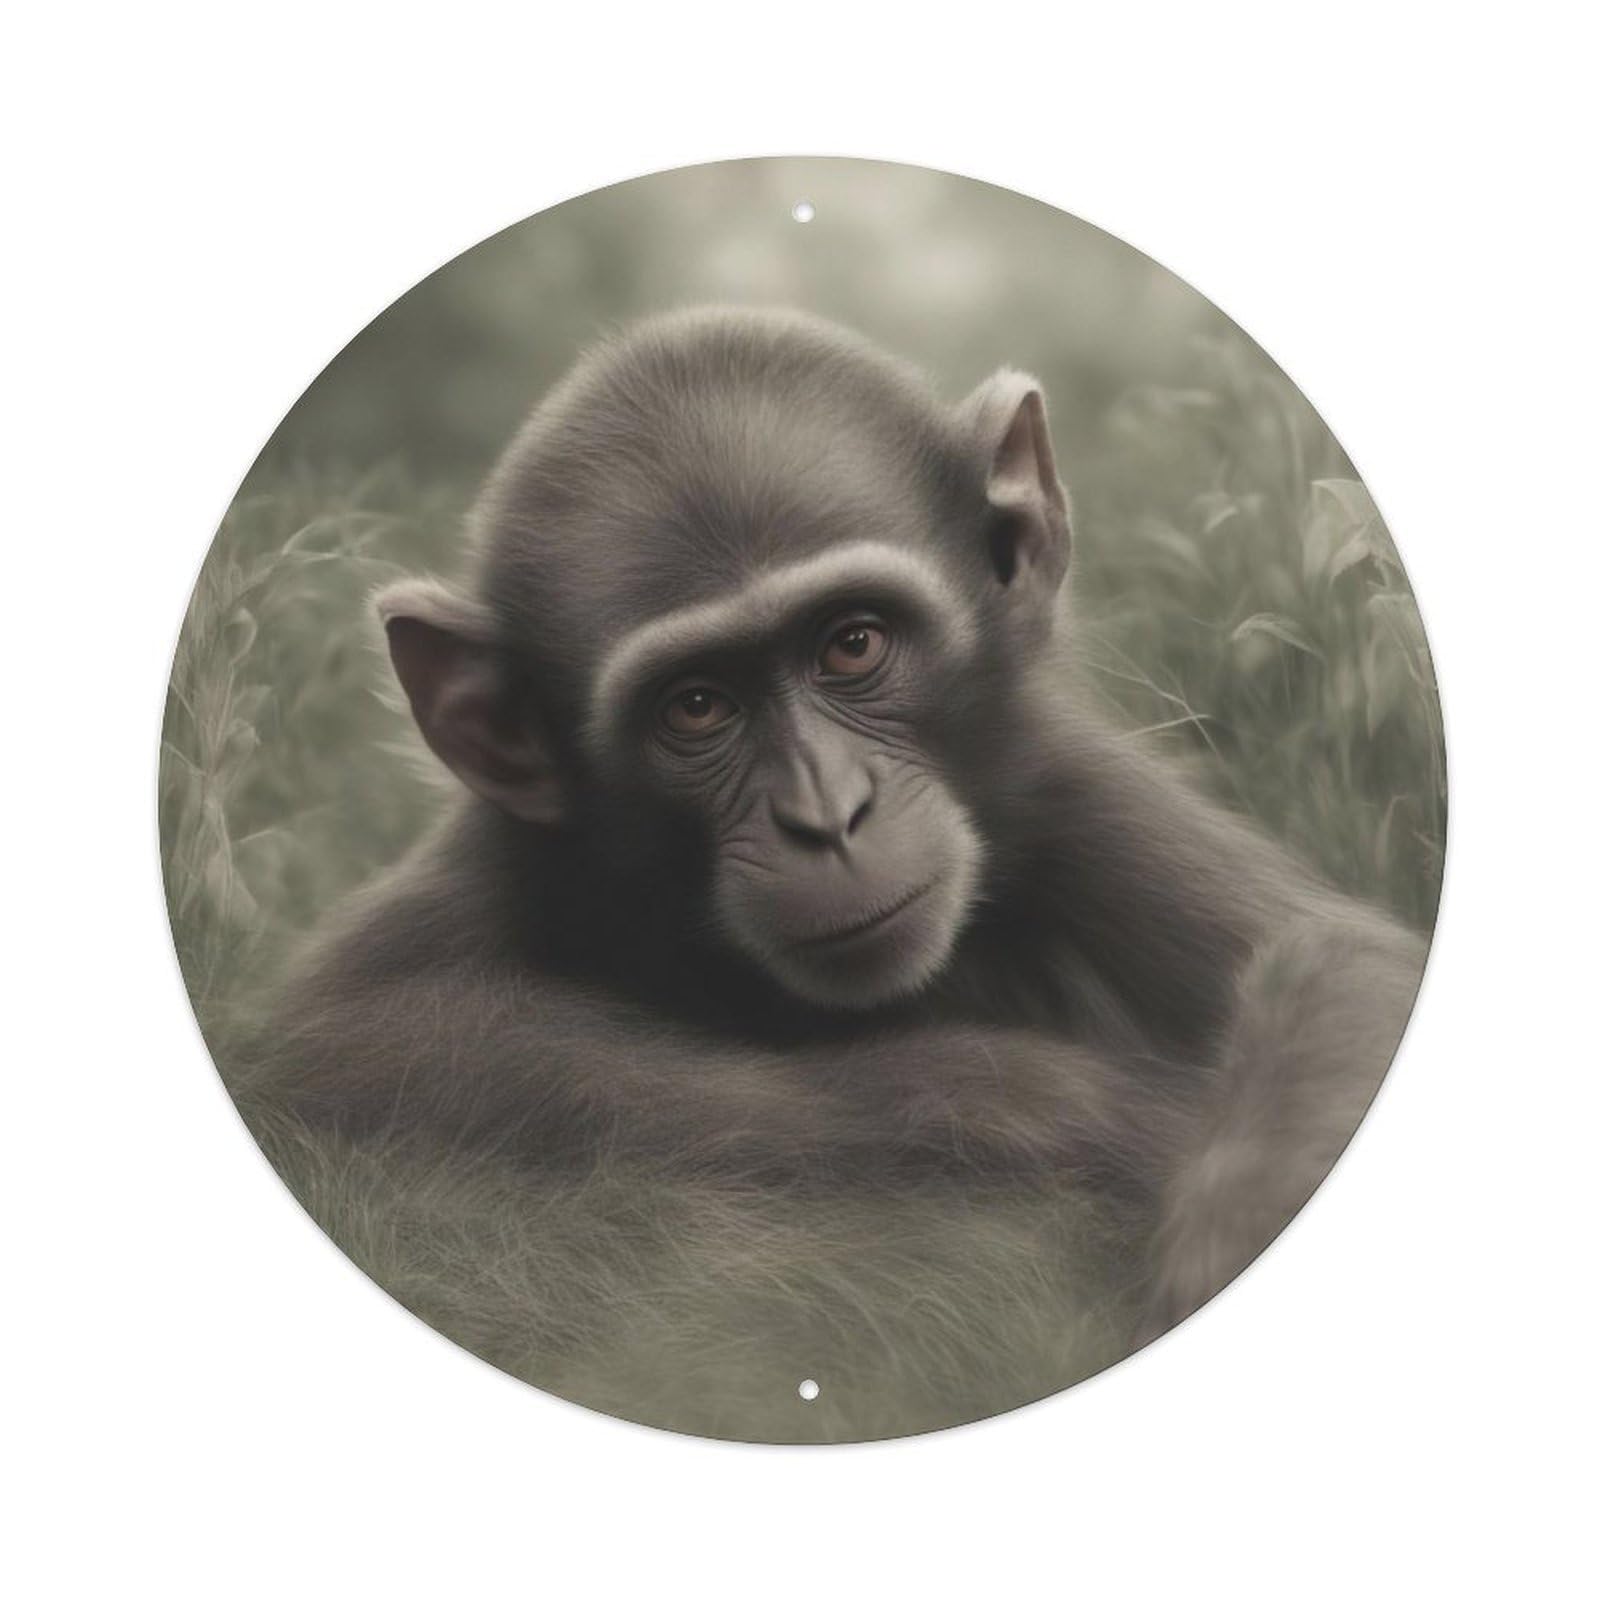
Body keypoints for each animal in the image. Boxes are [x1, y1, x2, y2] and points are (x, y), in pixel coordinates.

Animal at [237, 307, 1427, 1436]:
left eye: (852, 645)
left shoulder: (1078, 802)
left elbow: (1345, 967)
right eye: (697, 706)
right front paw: (1035, 1107)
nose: (826, 813)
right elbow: (355, 1055)